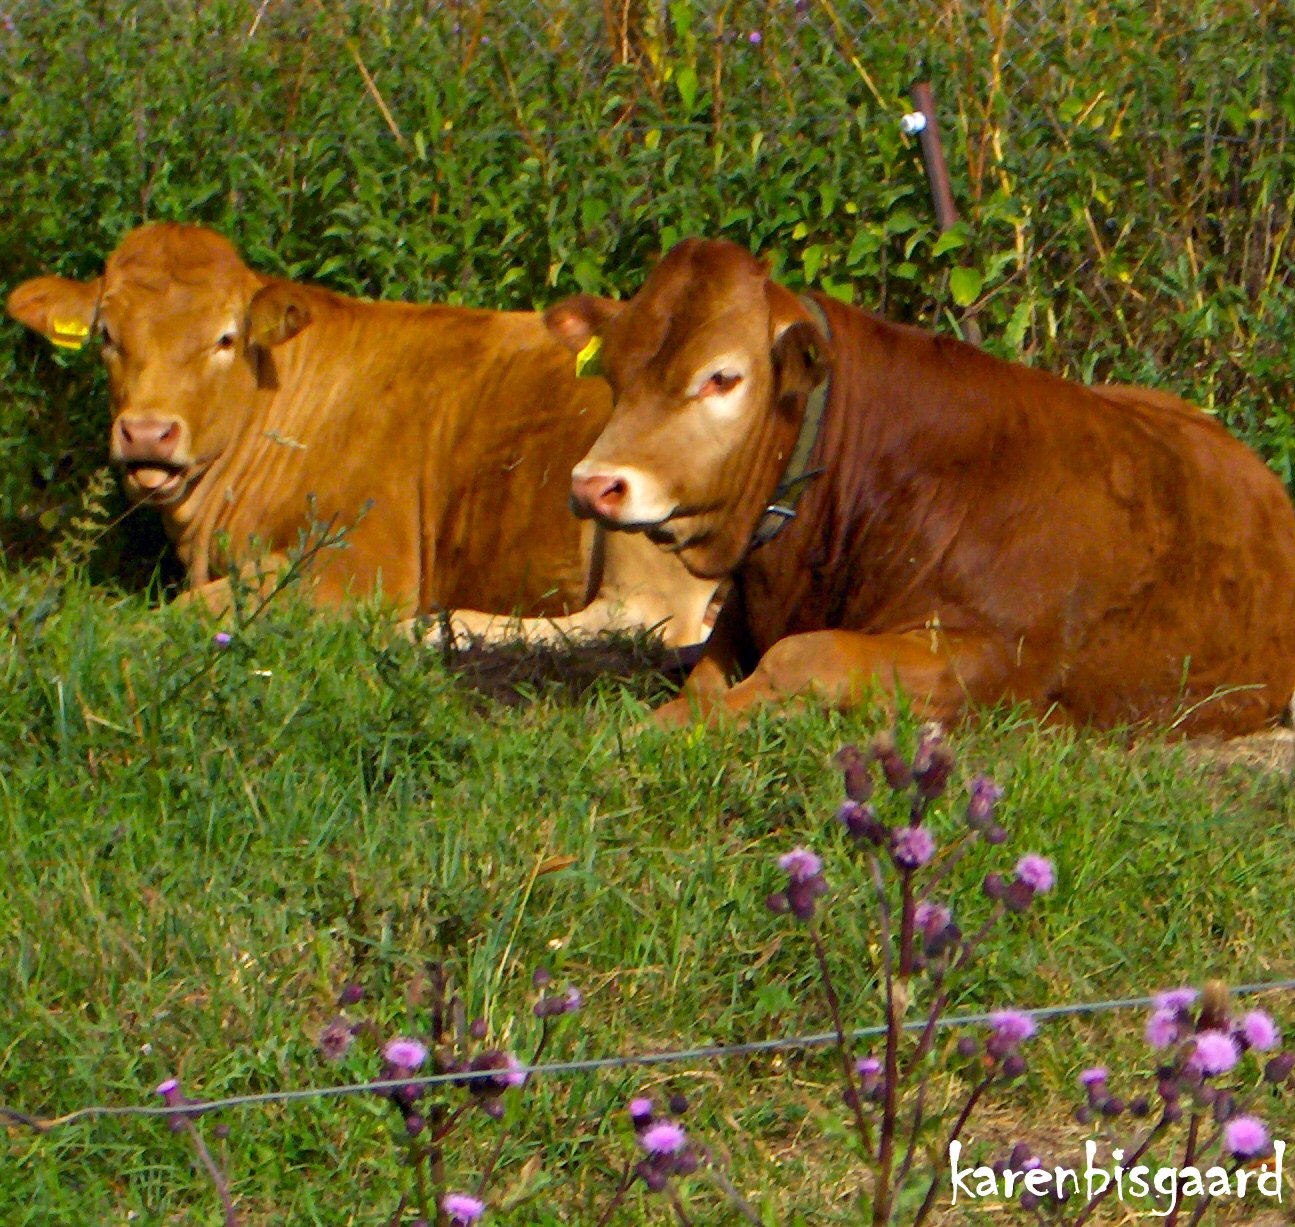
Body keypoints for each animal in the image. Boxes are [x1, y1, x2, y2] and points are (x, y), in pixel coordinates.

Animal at [6, 224, 715, 647]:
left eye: (225, 338)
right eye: (105, 335)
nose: (148, 433)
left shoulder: (362, 561)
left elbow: (187, 613)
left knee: (645, 622)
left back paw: (434, 628)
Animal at [544, 237, 1295, 737]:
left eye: (723, 376)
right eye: (613, 370)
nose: (595, 483)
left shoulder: (996, 657)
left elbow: (803, 655)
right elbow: (705, 674)